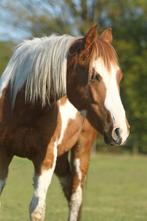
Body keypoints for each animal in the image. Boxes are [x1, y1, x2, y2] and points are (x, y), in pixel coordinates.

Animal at [0, 26, 129, 221]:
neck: (20, 107)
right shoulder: (3, 155)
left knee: (76, 197)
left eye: (119, 76)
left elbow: (37, 210)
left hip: (81, 152)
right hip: (60, 158)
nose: (121, 131)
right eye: (94, 76)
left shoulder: (45, 159)